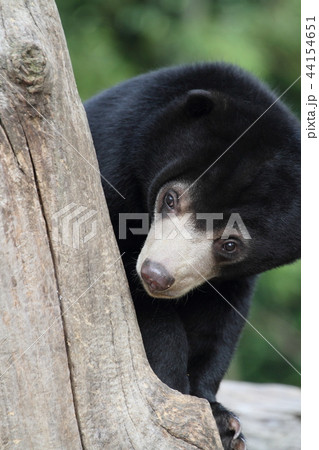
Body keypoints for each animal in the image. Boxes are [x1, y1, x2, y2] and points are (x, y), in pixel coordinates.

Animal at [84, 63, 300, 450]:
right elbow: (143, 313)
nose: (156, 275)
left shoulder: (232, 279)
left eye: (230, 244)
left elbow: (219, 323)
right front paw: (175, 387)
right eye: (171, 199)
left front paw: (222, 422)